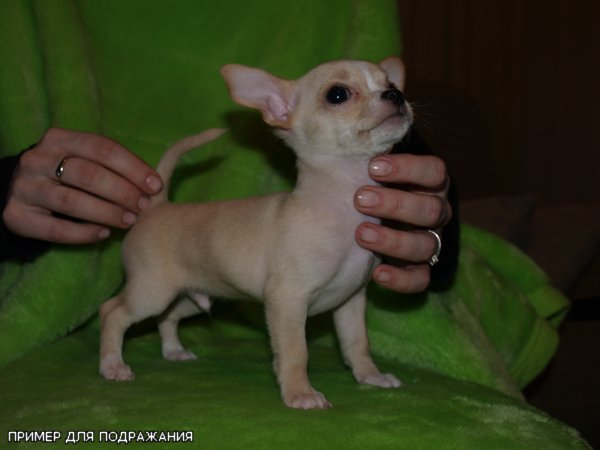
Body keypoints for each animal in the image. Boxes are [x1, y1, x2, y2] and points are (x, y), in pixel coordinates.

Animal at [99, 56, 413, 409]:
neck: (346, 206)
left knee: (167, 317)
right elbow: (295, 351)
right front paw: (300, 394)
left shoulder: (351, 301)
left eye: (392, 85)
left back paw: (173, 351)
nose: (395, 95)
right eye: (337, 94)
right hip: (151, 292)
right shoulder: (286, 300)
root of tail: (157, 205)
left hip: (193, 296)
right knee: (112, 312)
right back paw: (112, 365)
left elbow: (358, 344)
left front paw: (371, 377)